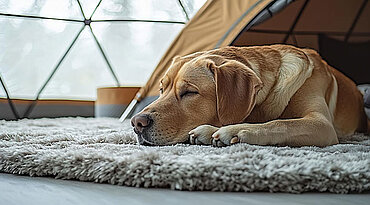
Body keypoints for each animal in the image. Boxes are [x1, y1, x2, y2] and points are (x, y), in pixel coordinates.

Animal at [130, 45, 368, 147]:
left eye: (189, 92)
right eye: (162, 89)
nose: (137, 123)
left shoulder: (321, 124)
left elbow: (281, 123)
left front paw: (235, 131)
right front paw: (209, 131)